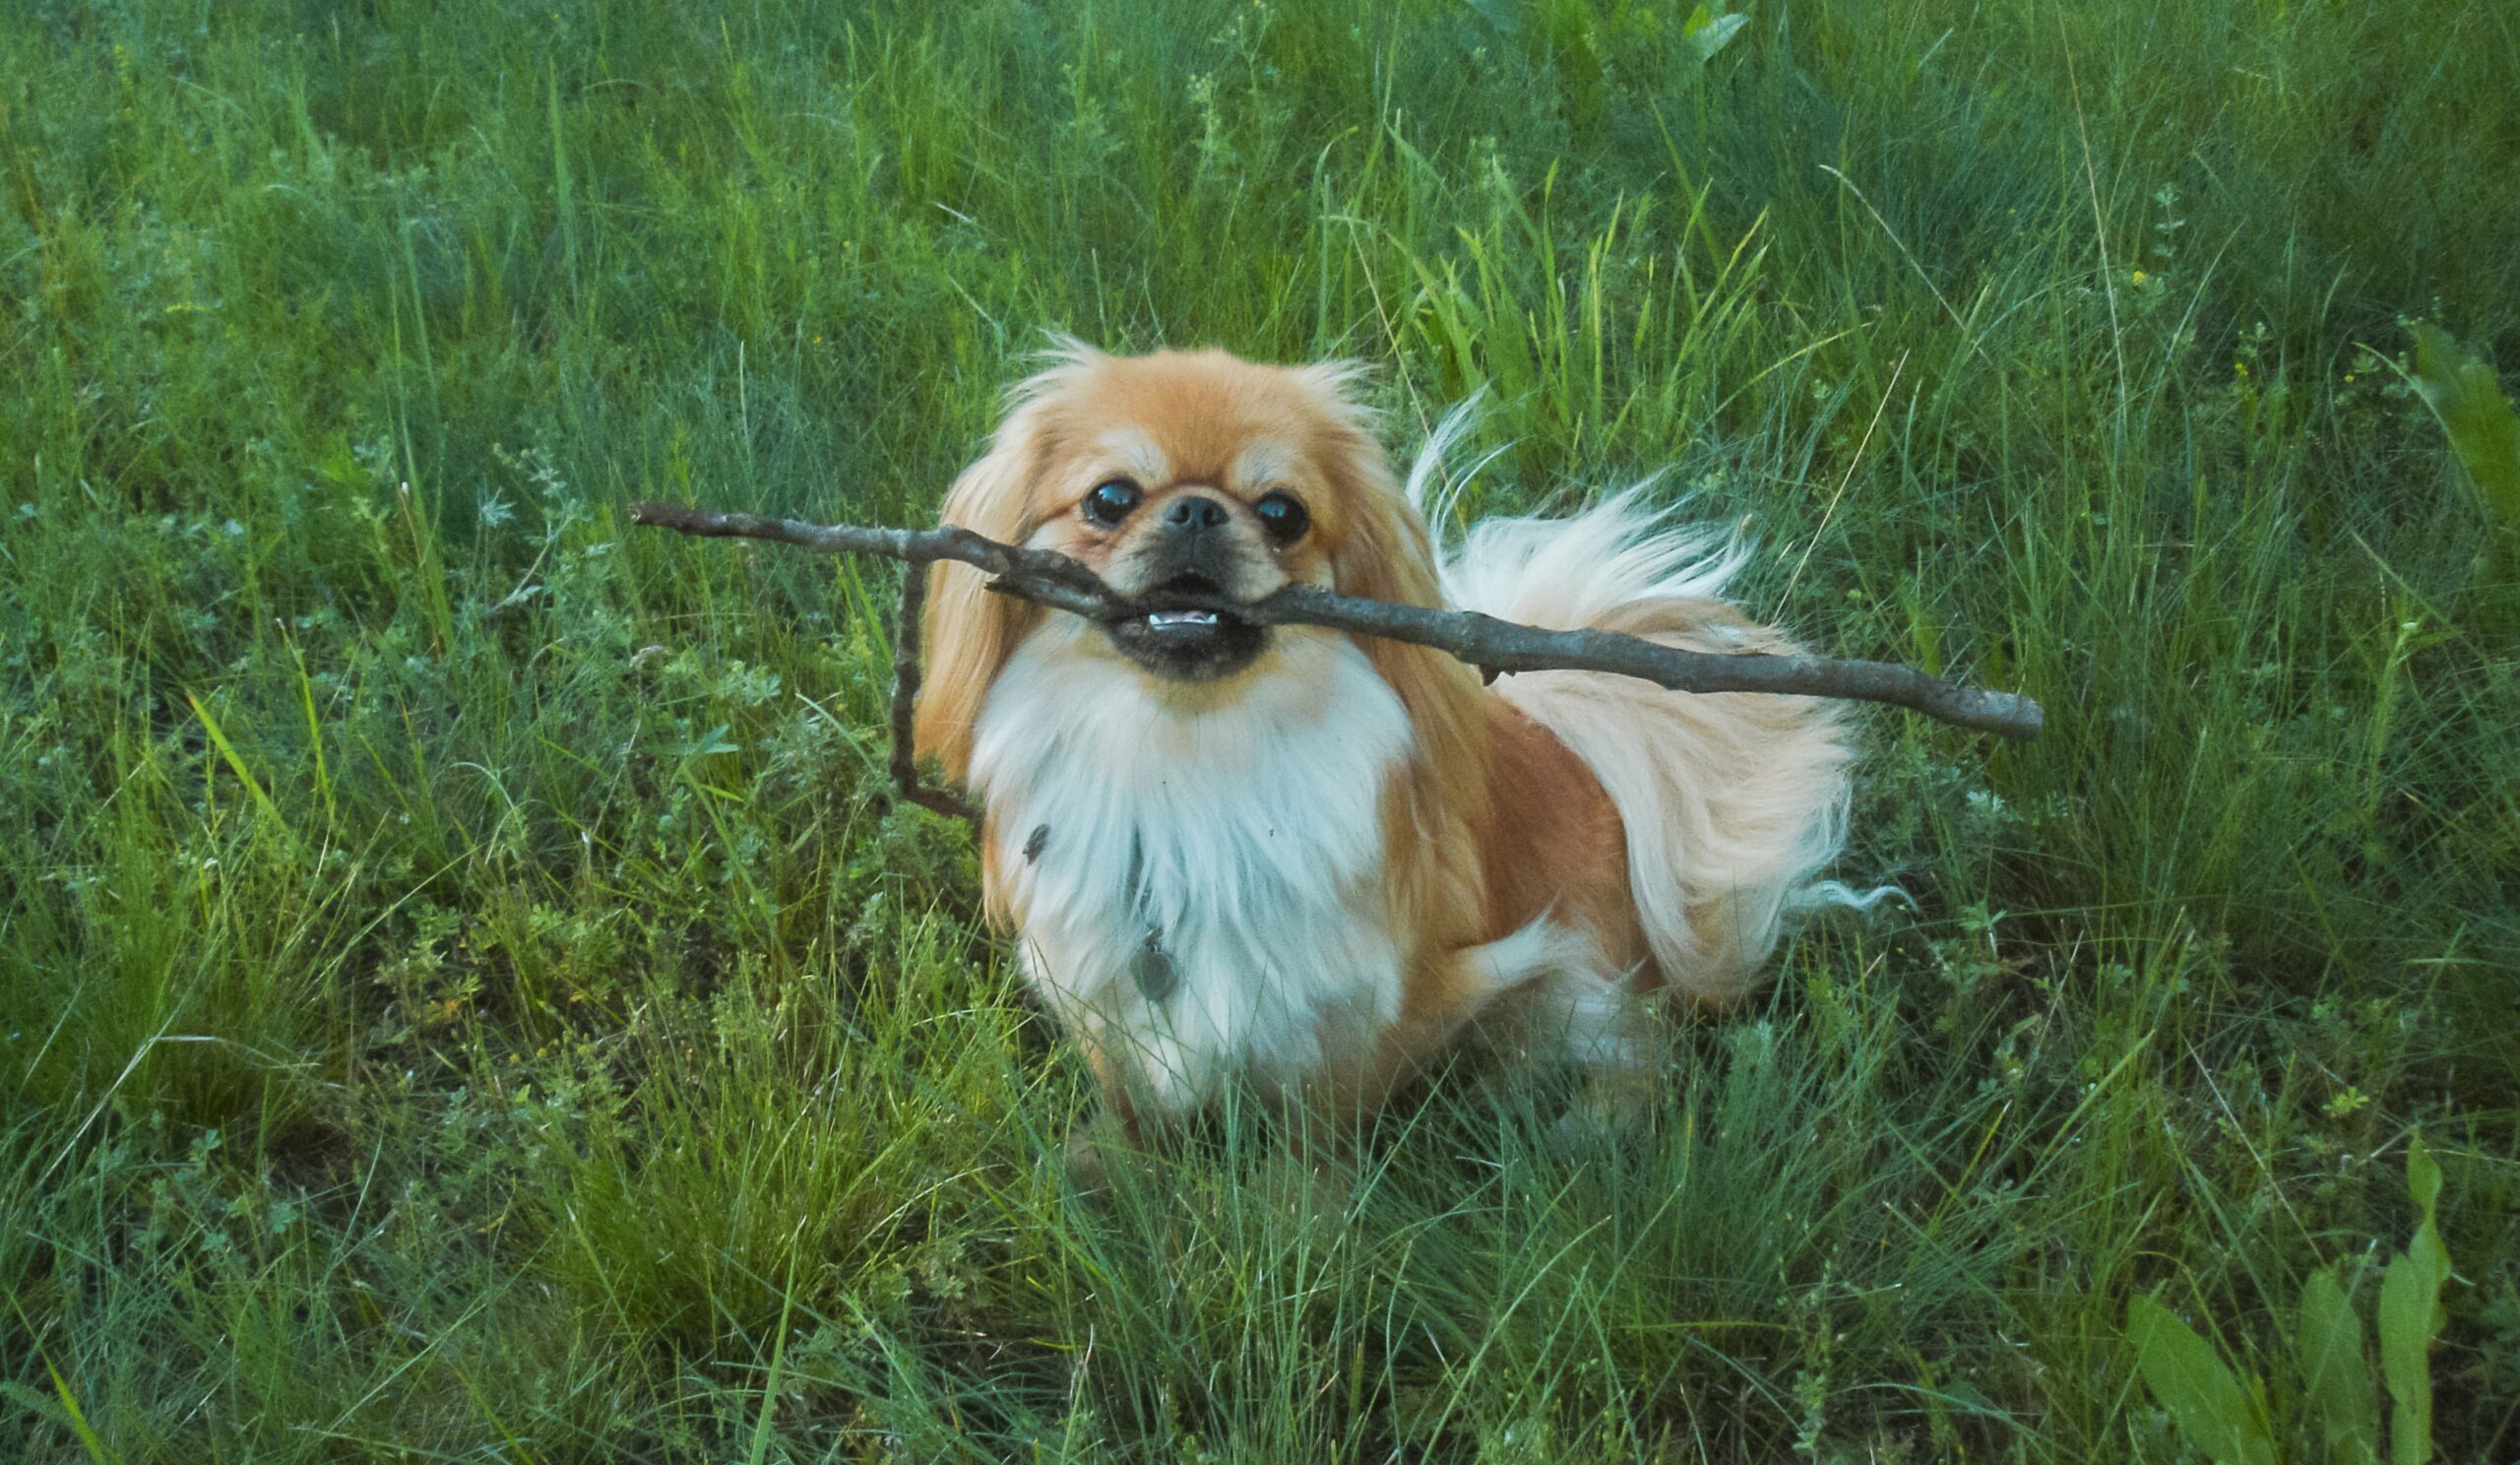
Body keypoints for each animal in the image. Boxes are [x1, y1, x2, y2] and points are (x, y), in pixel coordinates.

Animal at [916, 340, 1864, 1165]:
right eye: (1111, 498)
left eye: (1282, 513)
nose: (1194, 508)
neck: (1184, 749)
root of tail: (1568, 748)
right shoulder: (1101, 992)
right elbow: (1131, 1110)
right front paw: (1110, 1173)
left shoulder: (1362, 1010)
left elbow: (1317, 1142)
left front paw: (1299, 1217)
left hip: (1577, 987)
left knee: (1636, 1055)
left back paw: (1586, 1134)